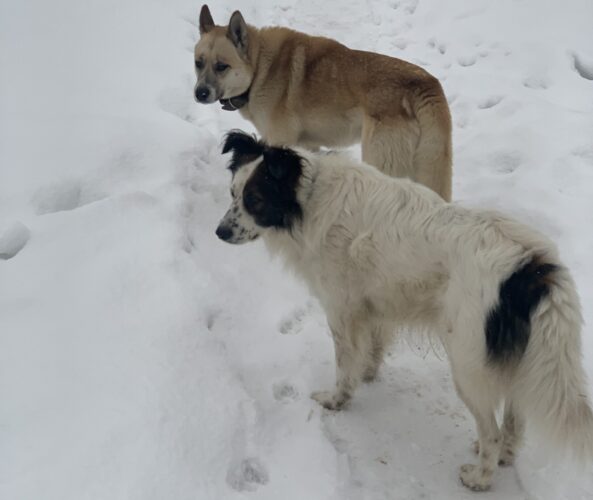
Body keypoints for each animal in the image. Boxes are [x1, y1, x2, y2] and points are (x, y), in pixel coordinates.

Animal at [195, 4, 454, 199]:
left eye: (222, 66)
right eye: (198, 62)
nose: (200, 93)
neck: (260, 68)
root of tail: (424, 83)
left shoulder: (280, 141)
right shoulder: (309, 146)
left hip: (380, 161)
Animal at [215, 131, 588, 490]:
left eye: (255, 200)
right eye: (232, 193)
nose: (219, 232)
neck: (308, 198)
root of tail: (531, 265)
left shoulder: (341, 309)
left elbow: (344, 365)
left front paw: (337, 399)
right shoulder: (373, 305)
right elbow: (372, 348)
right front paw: (367, 374)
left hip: (467, 365)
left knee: (492, 430)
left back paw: (480, 477)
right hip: (509, 359)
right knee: (514, 419)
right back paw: (504, 456)